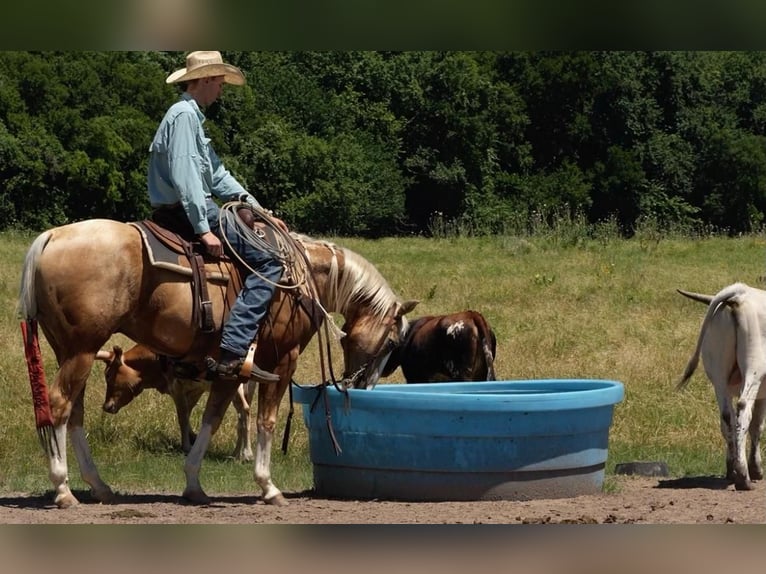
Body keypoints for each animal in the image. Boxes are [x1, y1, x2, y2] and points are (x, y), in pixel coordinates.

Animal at [96, 346, 256, 464]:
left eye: (108, 375)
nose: (106, 406)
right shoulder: (195, 389)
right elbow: (187, 412)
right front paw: (193, 437)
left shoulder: (177, 387)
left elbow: (182, 417)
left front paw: (187, 446)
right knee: (242, 416)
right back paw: (236, 454)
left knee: (244, 411)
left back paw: (247, 453)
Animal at [680, 284, 766, 490]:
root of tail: (740, 293)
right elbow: (758, 426)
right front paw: (756, 469)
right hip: (754, 371)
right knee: (742, 411)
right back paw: (743, 476)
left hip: (719, 377)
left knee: (727, 417)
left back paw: (732, 470)